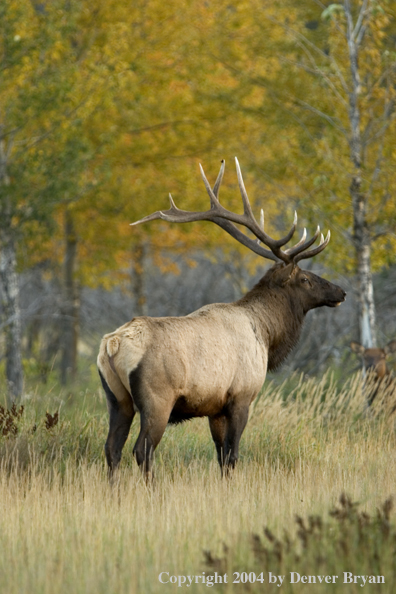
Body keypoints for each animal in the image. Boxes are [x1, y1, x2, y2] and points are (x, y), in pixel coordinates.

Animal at [96, 157, 346, 476]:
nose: (340, 291)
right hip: (156, 399)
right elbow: (233, 454)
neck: (266, 334)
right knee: (143, 450)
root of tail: (112, 345)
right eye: (305, 279)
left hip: (117, 399)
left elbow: (220, 455)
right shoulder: (241, 396)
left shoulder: (214, 407)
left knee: (112, 449)